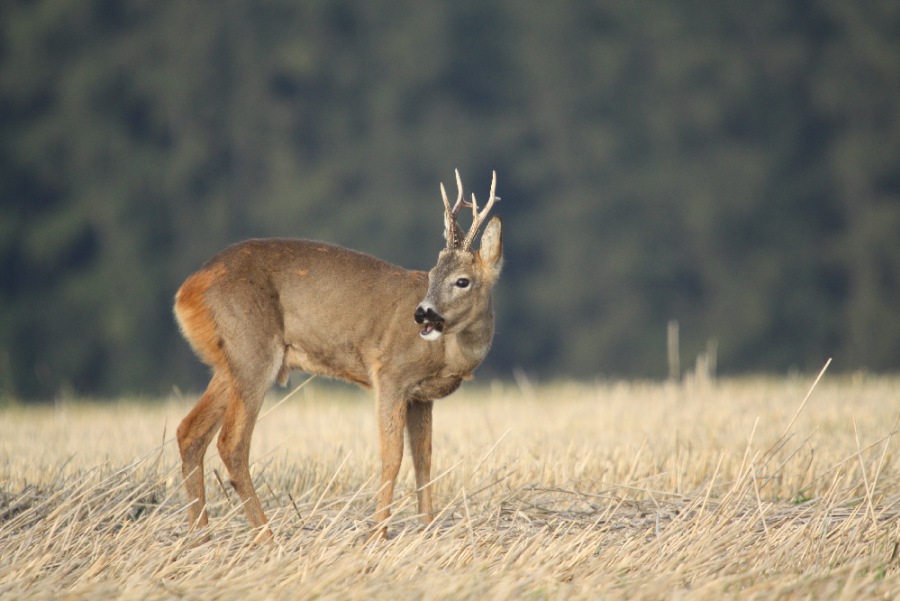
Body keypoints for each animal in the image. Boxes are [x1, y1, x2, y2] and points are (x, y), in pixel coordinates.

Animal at [174, 170, 502, 542]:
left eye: (462, 281)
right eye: (432, 275)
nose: (422, 313)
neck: (448, 353)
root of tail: (189, 288)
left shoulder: (421, 397)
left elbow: (424, 459)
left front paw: (427, 528)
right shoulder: (390, 373)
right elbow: (393, 457)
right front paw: (378, 534)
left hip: (229, 363)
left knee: (190, 432)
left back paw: (199, 537)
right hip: (252, 350)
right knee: (231, 442)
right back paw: (266, 538)